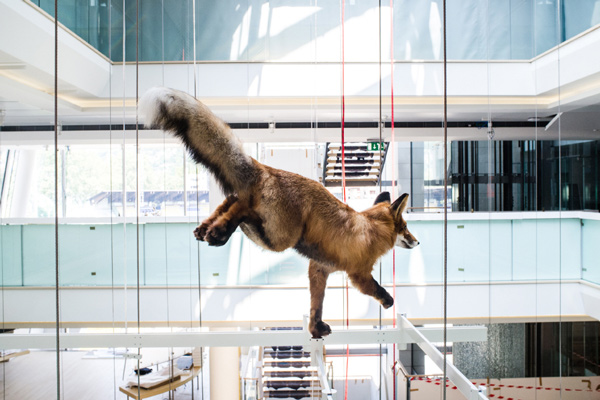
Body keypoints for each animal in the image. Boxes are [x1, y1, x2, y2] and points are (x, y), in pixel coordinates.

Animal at [142, 87, 420, 338]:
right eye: (406, 228)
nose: (417, 242)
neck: (372, 228)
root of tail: (265, 168)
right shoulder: (358, 273)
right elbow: (376, 289)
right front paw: (388, 300)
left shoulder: (319, 269)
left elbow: (316, 306)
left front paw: (315, 330)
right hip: (280, 238)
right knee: (243, 211)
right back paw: (219, 232)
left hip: (268, 229)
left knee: (231, 202)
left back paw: (207, 227)